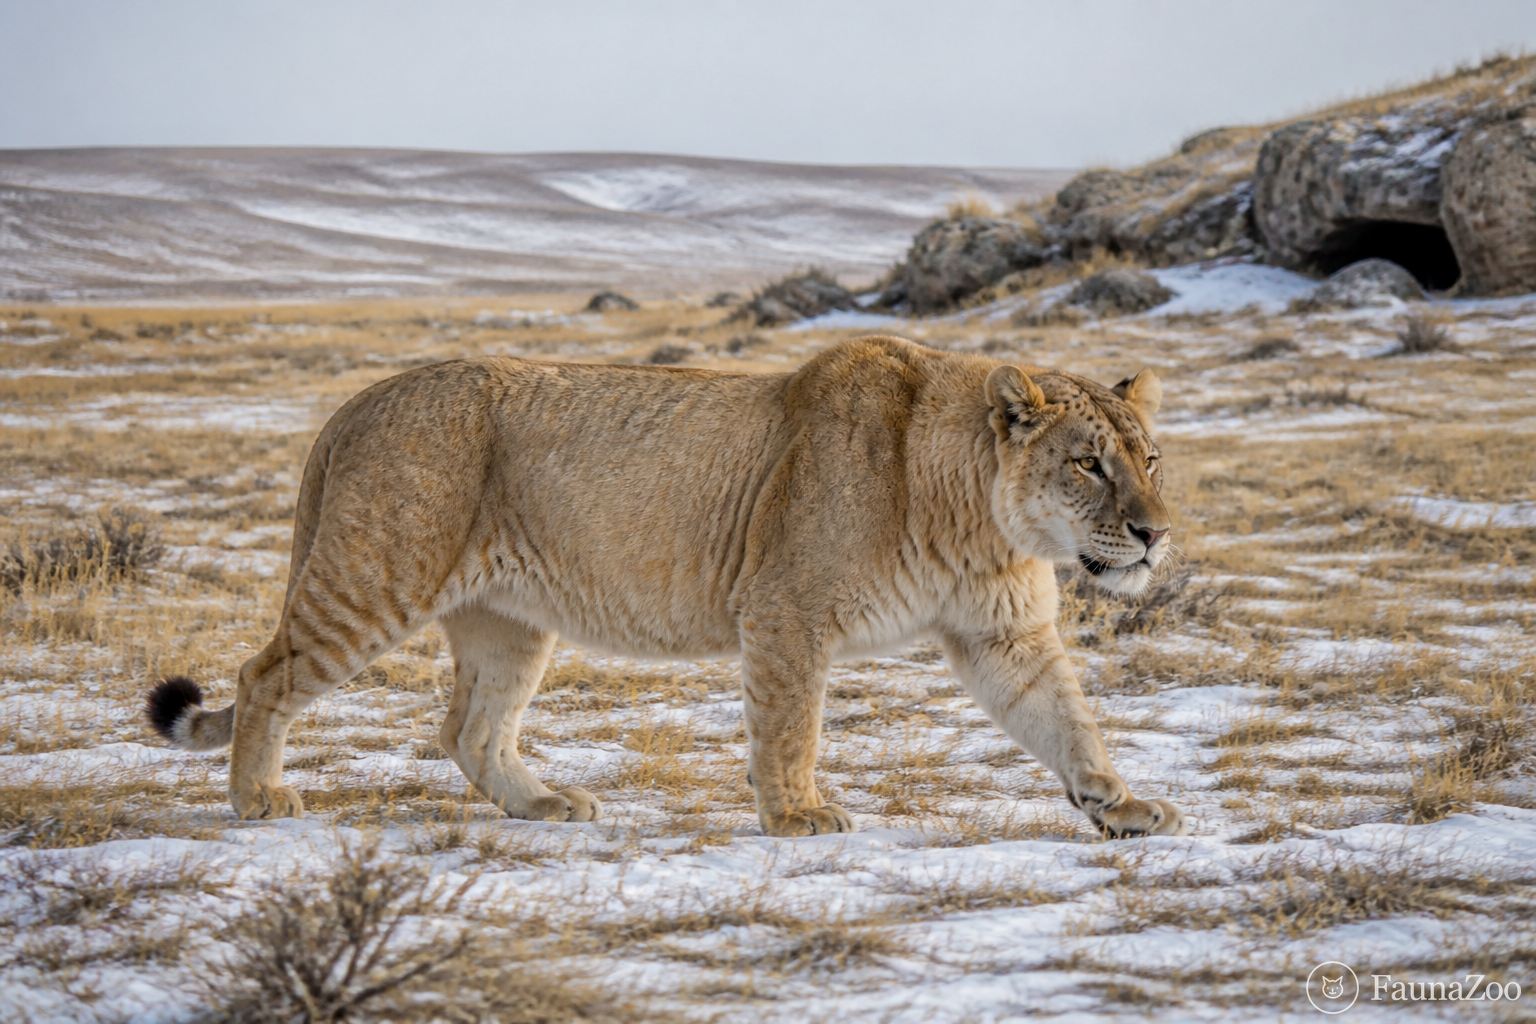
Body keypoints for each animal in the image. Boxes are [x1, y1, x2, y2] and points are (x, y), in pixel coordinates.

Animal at [145, 335, 1187, 838]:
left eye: (1149, 458)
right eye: (1088, 463)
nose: (1154, 534)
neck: (981, 524)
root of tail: (354, 402)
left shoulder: (1002, 636)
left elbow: (1066, 720)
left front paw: (1120, 803)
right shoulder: (784, 608)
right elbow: (790, 725)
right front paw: (798, 815)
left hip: (508, 621)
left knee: (467, 728)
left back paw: (542, 805)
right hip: (376, 572)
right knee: (265, 676)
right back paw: (258, 799)